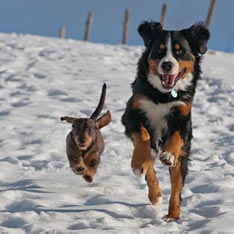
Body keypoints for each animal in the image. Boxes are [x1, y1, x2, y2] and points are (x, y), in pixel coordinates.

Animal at [121, 21, 209, 222]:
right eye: (159, 51)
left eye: (180, 51)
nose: (167, 64)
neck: (163, 95)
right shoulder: (132, 114)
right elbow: (143, 136)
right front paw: (138, 163)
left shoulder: (183, 117)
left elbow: (176, 137)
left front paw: (168, 154)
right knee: (149, 165)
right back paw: (154, 191)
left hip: (182, 160)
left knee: (177, 189)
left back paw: (172, 217)